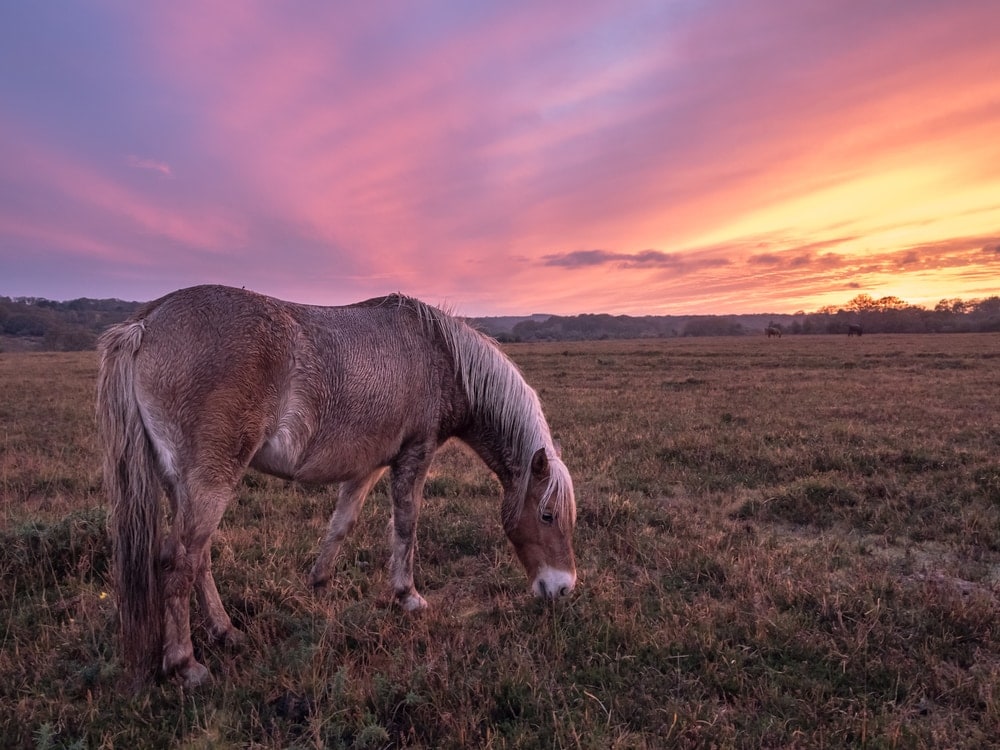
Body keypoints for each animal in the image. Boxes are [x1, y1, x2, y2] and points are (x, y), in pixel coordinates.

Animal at [96, 285, 577, 689]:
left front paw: (320, 582)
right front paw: (408, 596)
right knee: (180, 562)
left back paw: (225, 631)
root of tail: (147, 323)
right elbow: (406, 526)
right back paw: (186, 664)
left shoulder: (368, 467)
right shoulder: (414, 456)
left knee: (199, 559)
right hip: (211, 481)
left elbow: (342, 523)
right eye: (546, 514)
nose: (563, 588)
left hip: (182, 484)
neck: (439, 353)